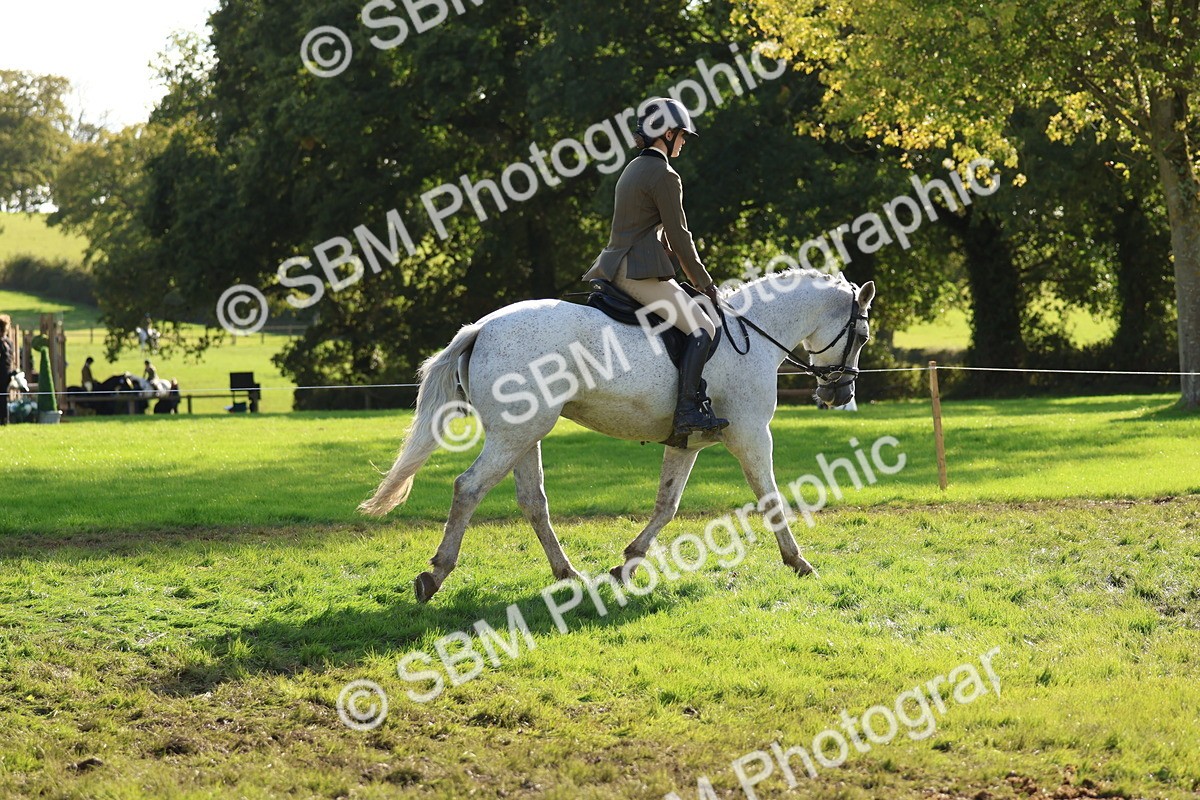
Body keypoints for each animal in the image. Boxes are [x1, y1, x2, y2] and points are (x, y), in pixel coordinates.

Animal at [360, 269, 875, 603]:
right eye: (863, 335)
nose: (841, 392)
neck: (752, 334)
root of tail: (481, 327)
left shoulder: (686, 442)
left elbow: (667, 505)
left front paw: (628, 563)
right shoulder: (752, 435)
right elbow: (770, 498)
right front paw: (799, 562)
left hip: (525, 433)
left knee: (532, 501)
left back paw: (567, 574)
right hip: (515, 434)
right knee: (468, 488)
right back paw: (436, 575)